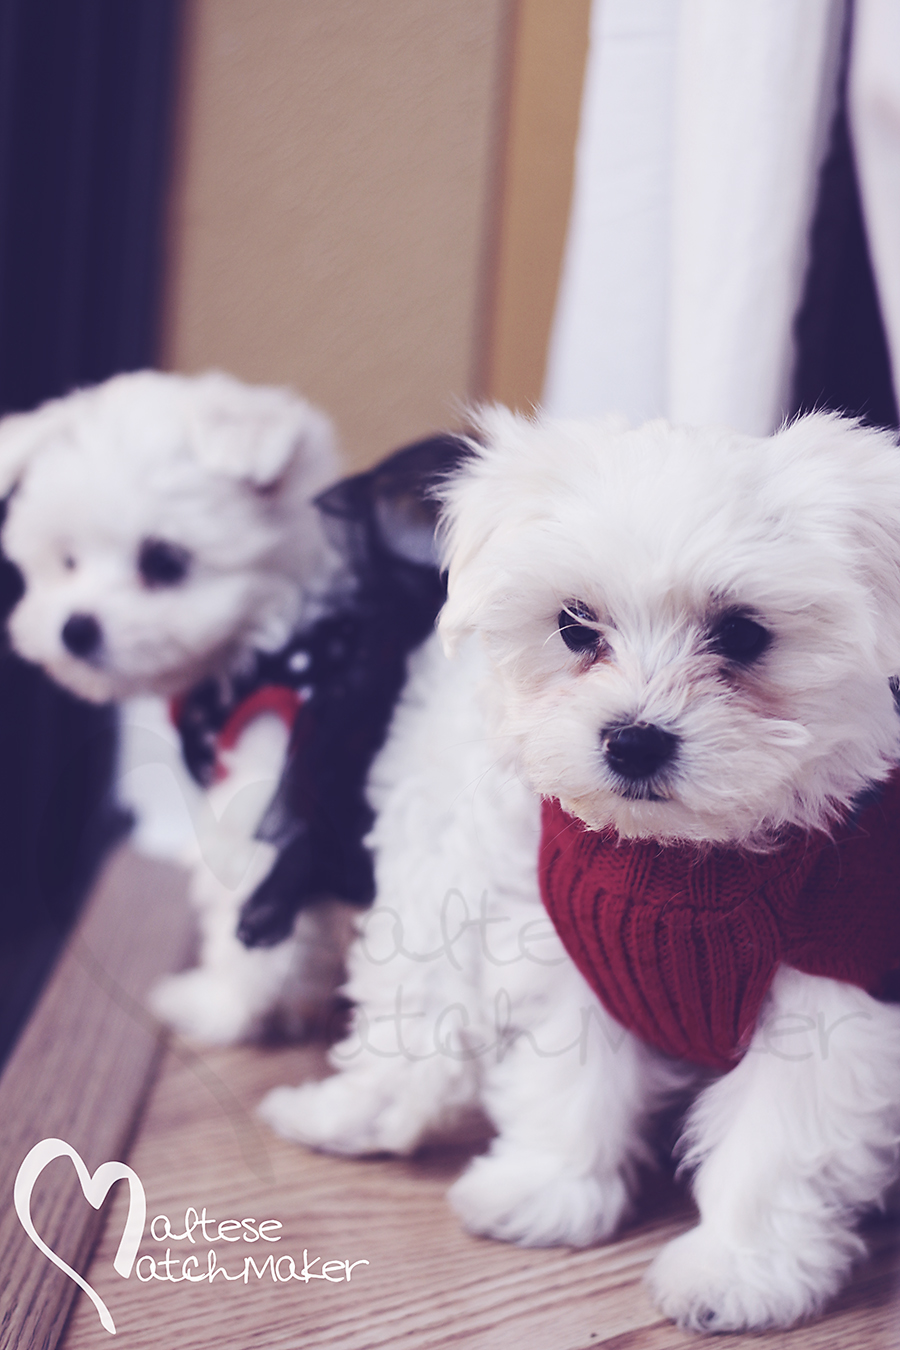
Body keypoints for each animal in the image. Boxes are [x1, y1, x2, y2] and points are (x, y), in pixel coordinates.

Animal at [0, 369, 348, 1042]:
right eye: (68, 560)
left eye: (163, 561)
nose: (76, 628)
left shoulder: (265, 802)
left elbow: (247, 921)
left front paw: (221, 1008)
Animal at [259, 405, 900, 1333]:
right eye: (573, 625)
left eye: (744, 634)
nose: (633, 739)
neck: (685, 861)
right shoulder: (577, 953)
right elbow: (566, 1076)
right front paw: (547, 1188)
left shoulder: (835, 986)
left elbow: (777, 1139)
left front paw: (736, 1271)